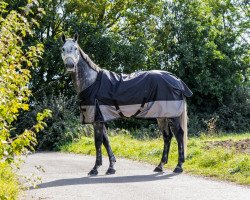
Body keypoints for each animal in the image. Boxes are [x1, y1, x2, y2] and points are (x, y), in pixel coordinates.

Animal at [61, 32, 193, 175]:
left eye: (75, 48)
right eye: (63, 49)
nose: (70, 65)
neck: (92, 82)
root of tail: (177, 80)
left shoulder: (97, 119)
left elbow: (98, 142)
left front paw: (95, 168)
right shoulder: (101, 118)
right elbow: (106, 141)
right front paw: (111, 167)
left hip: (172, 116)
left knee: (179, 135)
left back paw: (178, 166)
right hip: (162, 116)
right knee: (167, 137)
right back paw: (160, 166)